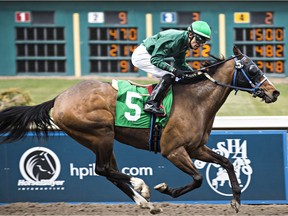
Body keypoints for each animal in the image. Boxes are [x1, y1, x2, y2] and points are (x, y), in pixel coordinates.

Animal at [0, 46, 280, 214]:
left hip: (101, 139)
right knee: (103, 169)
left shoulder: (196, 148)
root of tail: (59, 98)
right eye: (253, 69)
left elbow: (228, 162)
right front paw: (165, 189)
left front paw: (236, 200)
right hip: (100, 134)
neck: (197, 101)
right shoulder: (173, 150)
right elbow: (199, 178)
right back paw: (142, 187)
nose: (275, 92)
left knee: (109, 171)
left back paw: (145, 202)